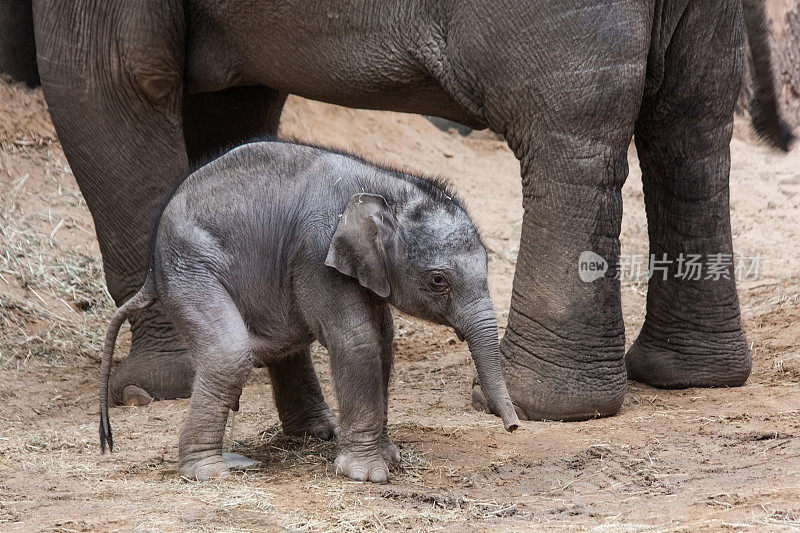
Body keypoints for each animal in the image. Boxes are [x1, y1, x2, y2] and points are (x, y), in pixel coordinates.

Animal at [3, 2, 792, 422]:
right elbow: (226, 105)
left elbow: (113, 81)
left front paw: (144, 390)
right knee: (691, 115)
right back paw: (684, 375)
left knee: (575, 131)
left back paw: (539, 403)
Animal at [98, 137, 520, 482]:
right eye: (438, 281)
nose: (514, 428)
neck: (386, 185)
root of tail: (152, 271)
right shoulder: (317, 253)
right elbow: (357, 340)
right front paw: (368, 475)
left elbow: (383, 339)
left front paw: (389, 458)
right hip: (190, 267)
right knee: (228, 354)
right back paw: (210, 473)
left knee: (283, 343)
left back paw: (316, 435)